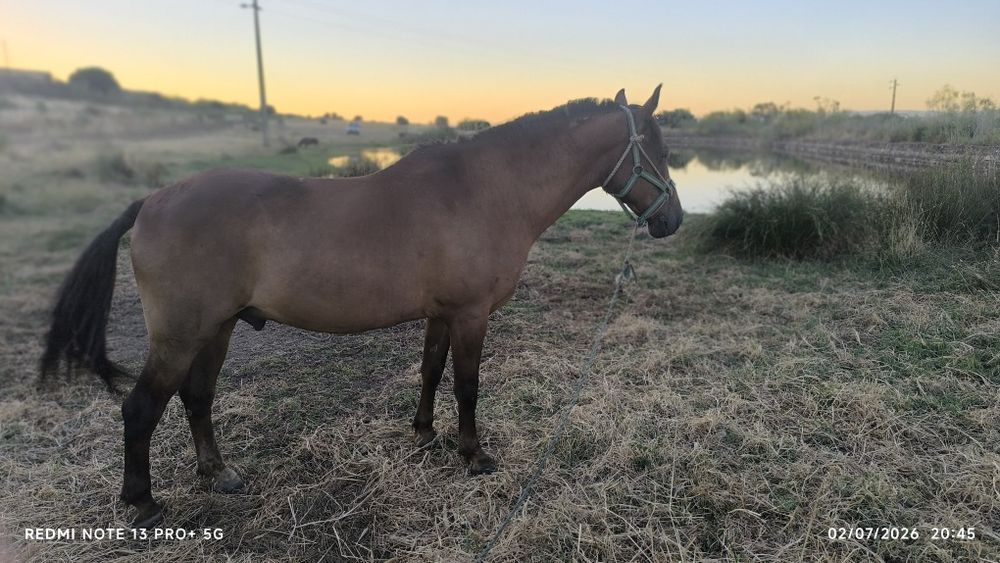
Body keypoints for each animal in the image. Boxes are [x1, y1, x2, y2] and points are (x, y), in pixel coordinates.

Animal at [40, 86, 682, 528]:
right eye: (657, 148)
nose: (673, 221)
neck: (483, 190)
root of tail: (152, 200)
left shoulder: (442, 314)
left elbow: (430, 371)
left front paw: (423, 433)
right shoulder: (471, 314)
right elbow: (467, 386)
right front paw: (473, 454)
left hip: (216, 330)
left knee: (197, 398)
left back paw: (218, 474)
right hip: (180, 335)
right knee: (142, 409)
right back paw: (143, 501)